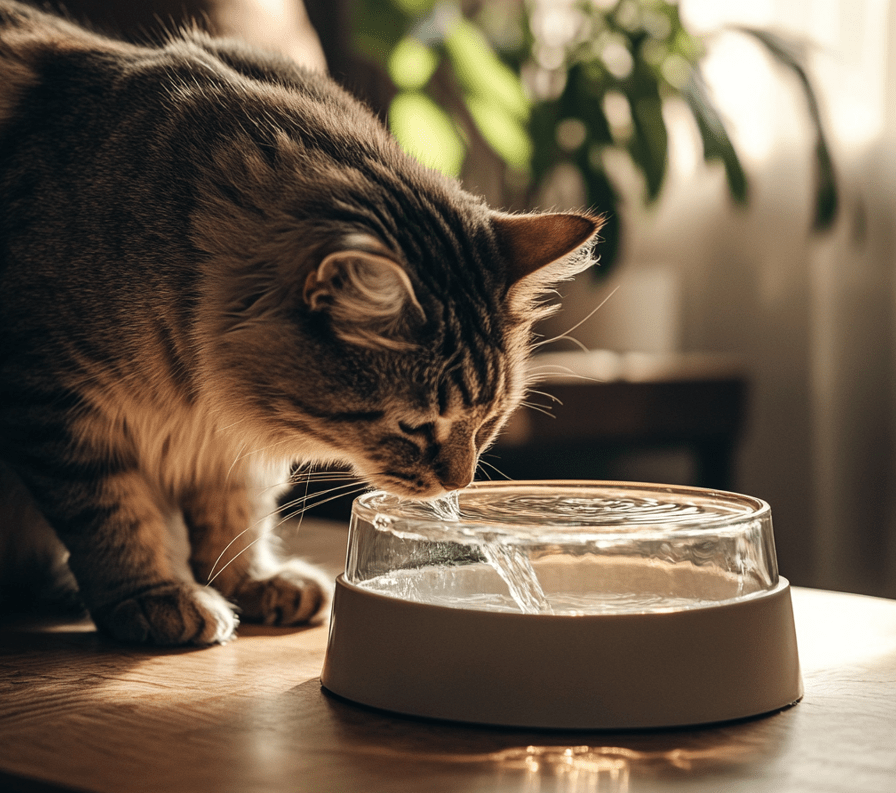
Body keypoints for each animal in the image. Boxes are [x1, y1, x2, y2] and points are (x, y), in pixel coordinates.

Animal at [0, 0, 600, 644]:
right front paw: (155, 596)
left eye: (488, 421)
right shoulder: (57, 400)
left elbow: (235, 515)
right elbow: (113, 516)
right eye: (414, 427)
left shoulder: (224, 441)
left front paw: (250, 583)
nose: (458, 485)